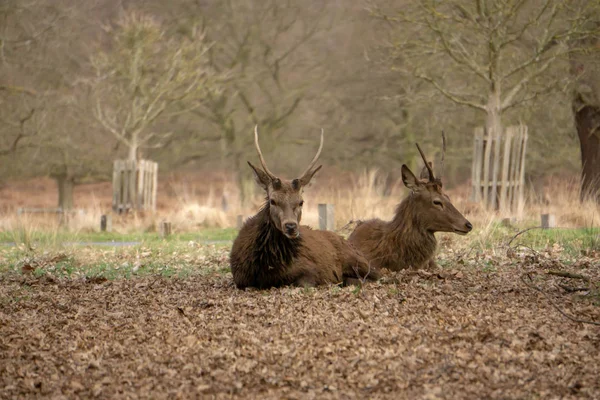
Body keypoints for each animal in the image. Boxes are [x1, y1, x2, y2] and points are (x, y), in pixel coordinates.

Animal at [230, 126, 380, 290]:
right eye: (272, 200)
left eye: (301, 202)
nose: (291, 226)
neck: (267, 267)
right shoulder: (240, 279)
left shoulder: (311, 270)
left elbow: (304, 282)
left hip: (358, 260)